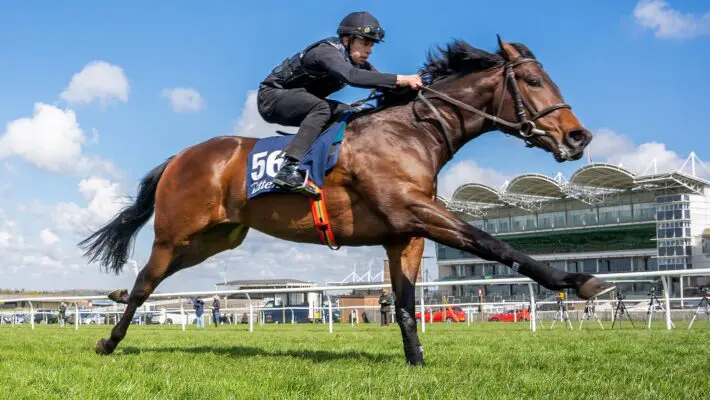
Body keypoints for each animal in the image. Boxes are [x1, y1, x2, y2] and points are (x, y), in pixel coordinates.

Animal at [80, 36, 614, 366]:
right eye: (533, 81)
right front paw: (578, 281)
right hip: (175, 233)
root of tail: (181, 157)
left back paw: (114, 304)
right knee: (147, 282)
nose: (579, 136)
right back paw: (109, 340)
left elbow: (404, 304)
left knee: (151, 281)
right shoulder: (416, 211)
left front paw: (416, 362)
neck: (413, 132)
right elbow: (493, 243)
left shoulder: (405, 235)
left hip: (216, 239)